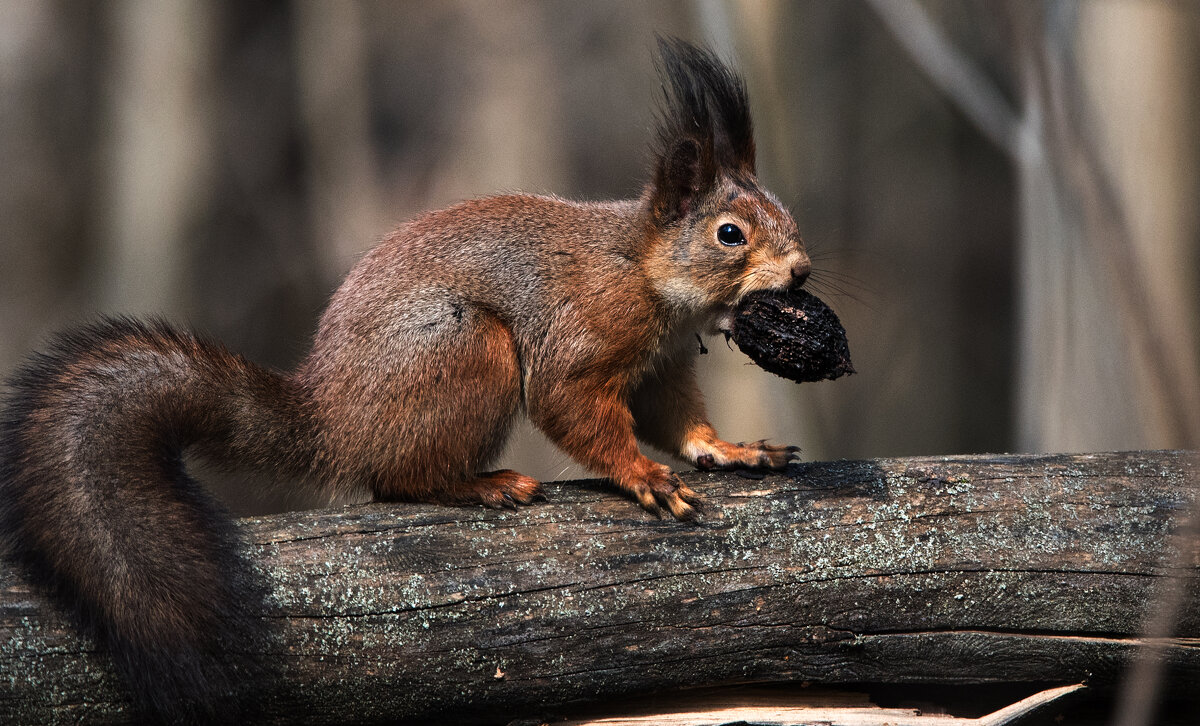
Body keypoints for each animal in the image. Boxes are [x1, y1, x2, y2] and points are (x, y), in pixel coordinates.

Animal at [0, 38, 811, 720]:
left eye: (786, 217)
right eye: (729, 235)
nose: (802, 271)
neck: (643, 269)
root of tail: (332, 419)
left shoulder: (662, 366)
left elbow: (679, 419)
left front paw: (730, 450)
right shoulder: (585, 333)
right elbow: (571, 403)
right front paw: (641, 474)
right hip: (467, 350)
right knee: (397, 478)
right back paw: (479, 485)